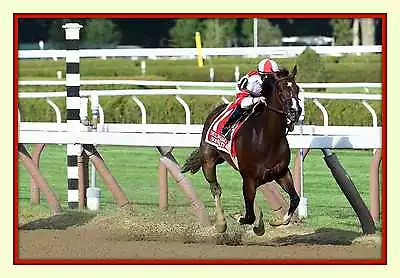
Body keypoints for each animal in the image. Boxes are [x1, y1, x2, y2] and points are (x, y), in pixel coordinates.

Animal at [183, 65, 302, 235]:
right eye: (280, 90)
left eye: (297, 89)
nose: (295, 111)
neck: (267, 139)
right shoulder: (249, 179)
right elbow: (249, 216)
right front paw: (239, 216)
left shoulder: (281, 173)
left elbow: (295, 199)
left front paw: (277, 220)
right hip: (208, 161)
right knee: (215, 189)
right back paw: (221, 223)